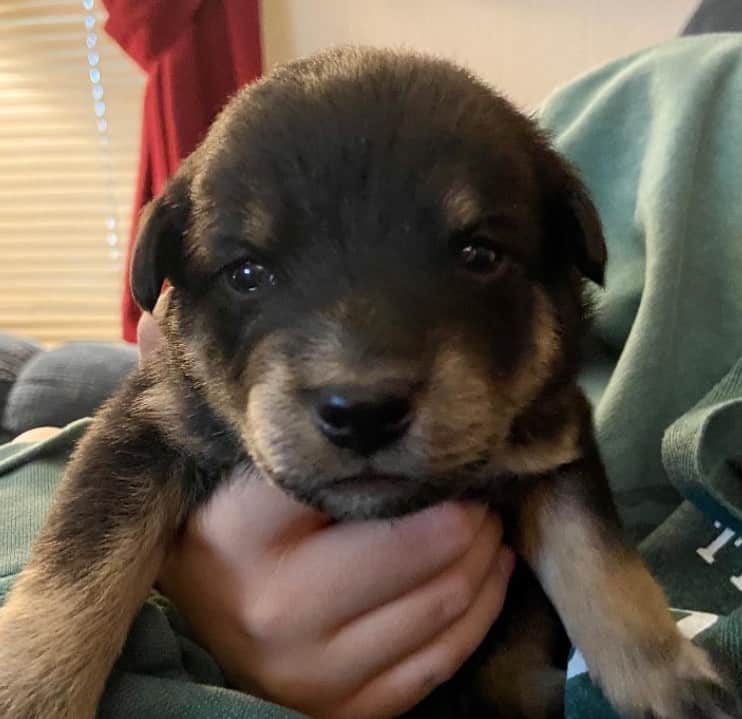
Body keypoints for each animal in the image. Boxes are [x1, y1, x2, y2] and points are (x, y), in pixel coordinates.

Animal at [0, 47, 736, 716]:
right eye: (247, 273)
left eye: (479, 254)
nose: (362, 411)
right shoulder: (145, 424)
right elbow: (79, 569)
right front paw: (27, 691)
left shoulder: (555, 442)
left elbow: (599, 562)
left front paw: (673, 680)